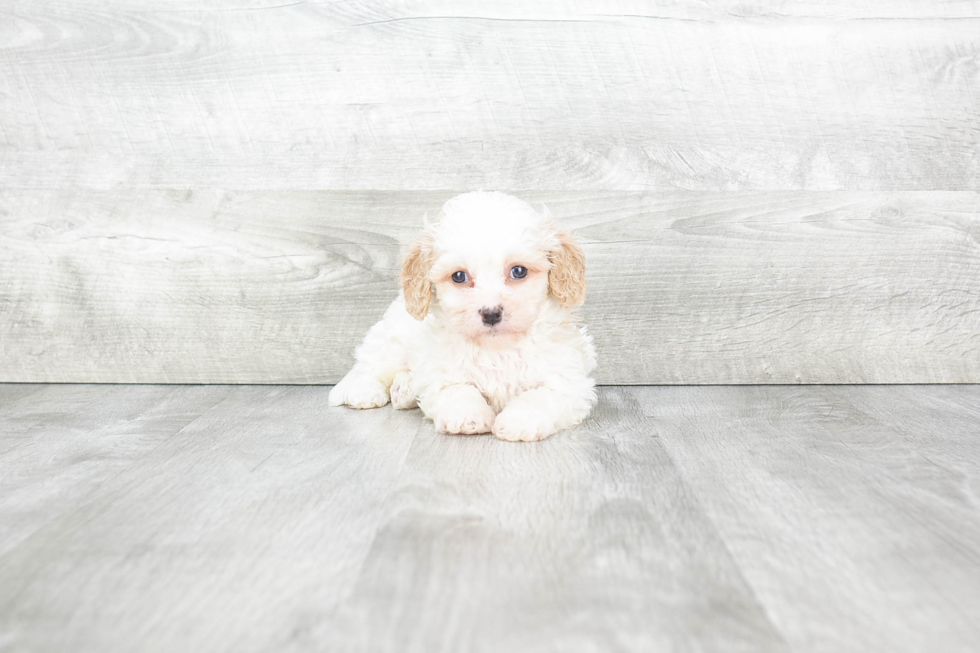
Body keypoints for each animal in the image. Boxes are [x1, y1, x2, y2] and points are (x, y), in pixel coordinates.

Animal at [330, 191, 596, 440]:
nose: (491, 313)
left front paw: (519, 421)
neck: (497, 349)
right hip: (393, 342)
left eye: (519, 271)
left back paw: (403, 390)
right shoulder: (442, 374)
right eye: (459, 276)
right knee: (369, 366)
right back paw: (364, 392)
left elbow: (540, 397)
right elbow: (459, 390)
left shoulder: (567, 380)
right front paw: (468, 418)